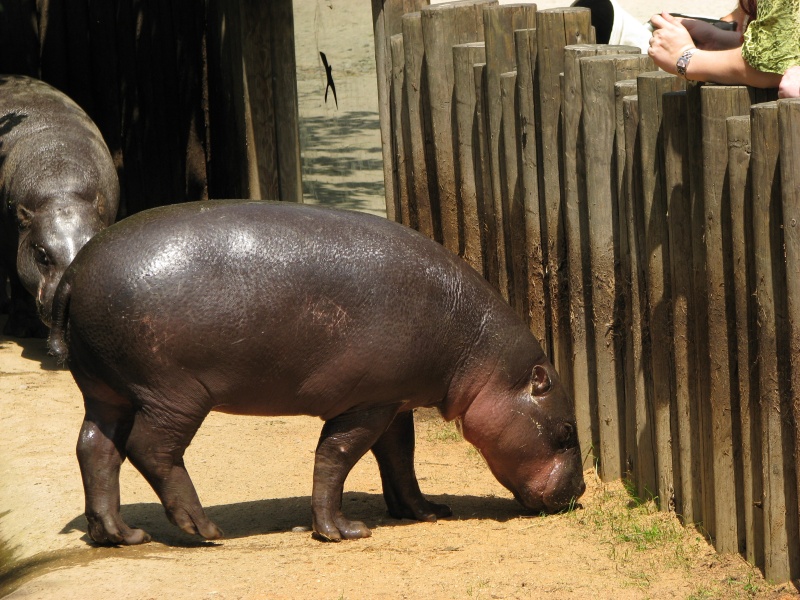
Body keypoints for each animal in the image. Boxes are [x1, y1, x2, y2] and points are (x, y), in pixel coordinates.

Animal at [48, 200, 585, 545]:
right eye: (566, 431)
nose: (580, 492)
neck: (481, 355)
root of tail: (73, 272)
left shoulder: (393, 399)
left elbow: (400, 459)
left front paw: (426, 512)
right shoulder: (366, 402)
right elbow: (337, 457)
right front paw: (342, 532)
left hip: (107, 390)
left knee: (94, 449)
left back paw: (119, 535)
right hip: (172, 393)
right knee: (152, 450)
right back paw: (205, 530)